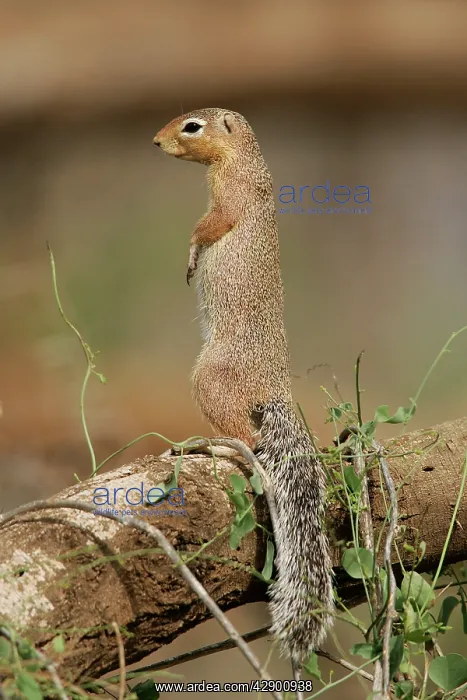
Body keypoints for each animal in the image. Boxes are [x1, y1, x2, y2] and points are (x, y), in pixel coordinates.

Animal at [154, 108, 334, 664]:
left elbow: (210, 225)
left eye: (192, 126)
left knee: (247, 441)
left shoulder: (229, 199)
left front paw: (191, 255)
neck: (247, 160)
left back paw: (208, 444)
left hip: (209, 379)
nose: (155, 141)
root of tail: (273, 393)